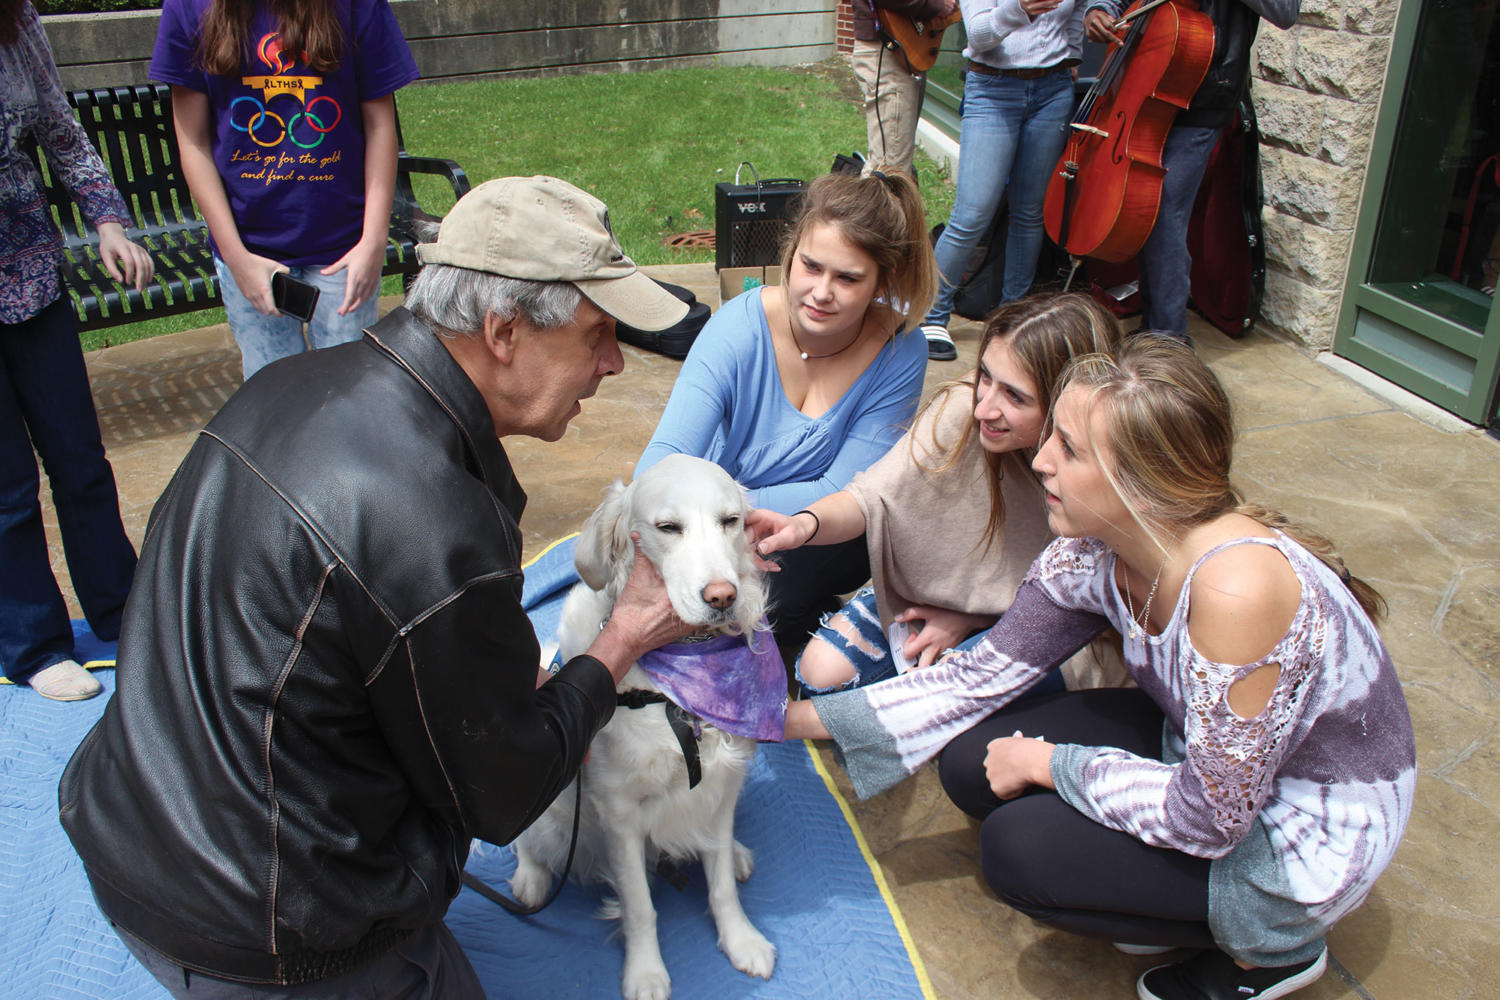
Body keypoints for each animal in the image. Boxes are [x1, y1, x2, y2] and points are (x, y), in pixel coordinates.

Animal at [513, 455, 780, 1000]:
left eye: (731, 521)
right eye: (668, 528)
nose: (721, 595)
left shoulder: (721, 788)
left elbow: (721, 885)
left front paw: (741, 940)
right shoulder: (618, 814)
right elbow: (640, 907)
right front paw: (646, 972)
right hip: (554, 807)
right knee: (527, 841)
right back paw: (529, 878)